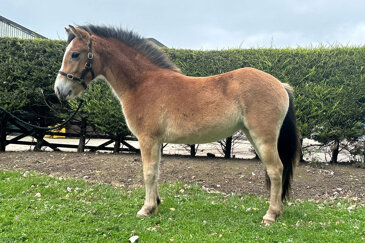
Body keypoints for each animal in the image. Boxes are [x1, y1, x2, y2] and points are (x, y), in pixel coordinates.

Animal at [54, 25, 298, 224]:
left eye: (75, 54)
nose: (59, 90)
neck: (142, 83)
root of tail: (280, 85)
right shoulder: (157, 141)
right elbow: (156, 171)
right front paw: (155, 205)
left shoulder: (147, 139)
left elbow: (148, 172)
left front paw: (146, 209)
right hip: (253, 136)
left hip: (263, 138)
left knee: (276, 170)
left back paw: (270, 215)